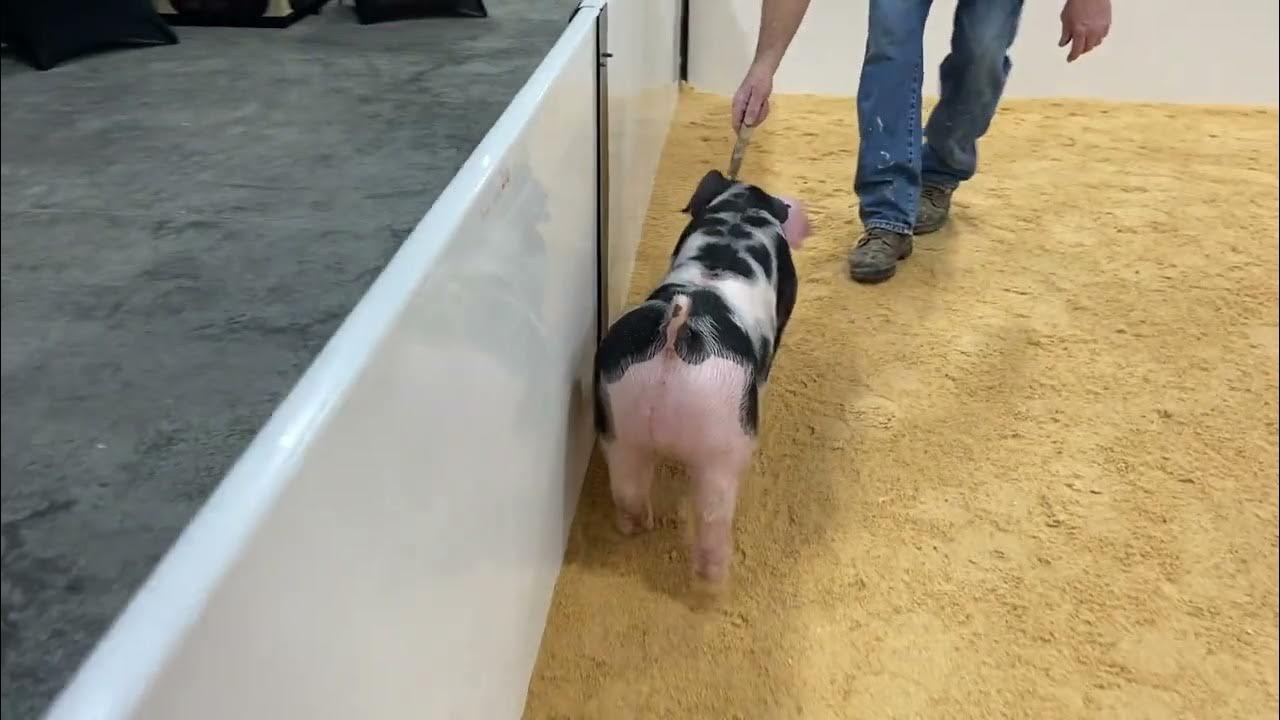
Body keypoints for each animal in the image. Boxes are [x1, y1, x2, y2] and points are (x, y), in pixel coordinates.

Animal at [593, 169, 811, 586]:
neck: (740, 212)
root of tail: (676, 335)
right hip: (722, 443)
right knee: (713, 513)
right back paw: (715, 577)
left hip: (619, 421)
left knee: (627, 489)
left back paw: (638, 527)